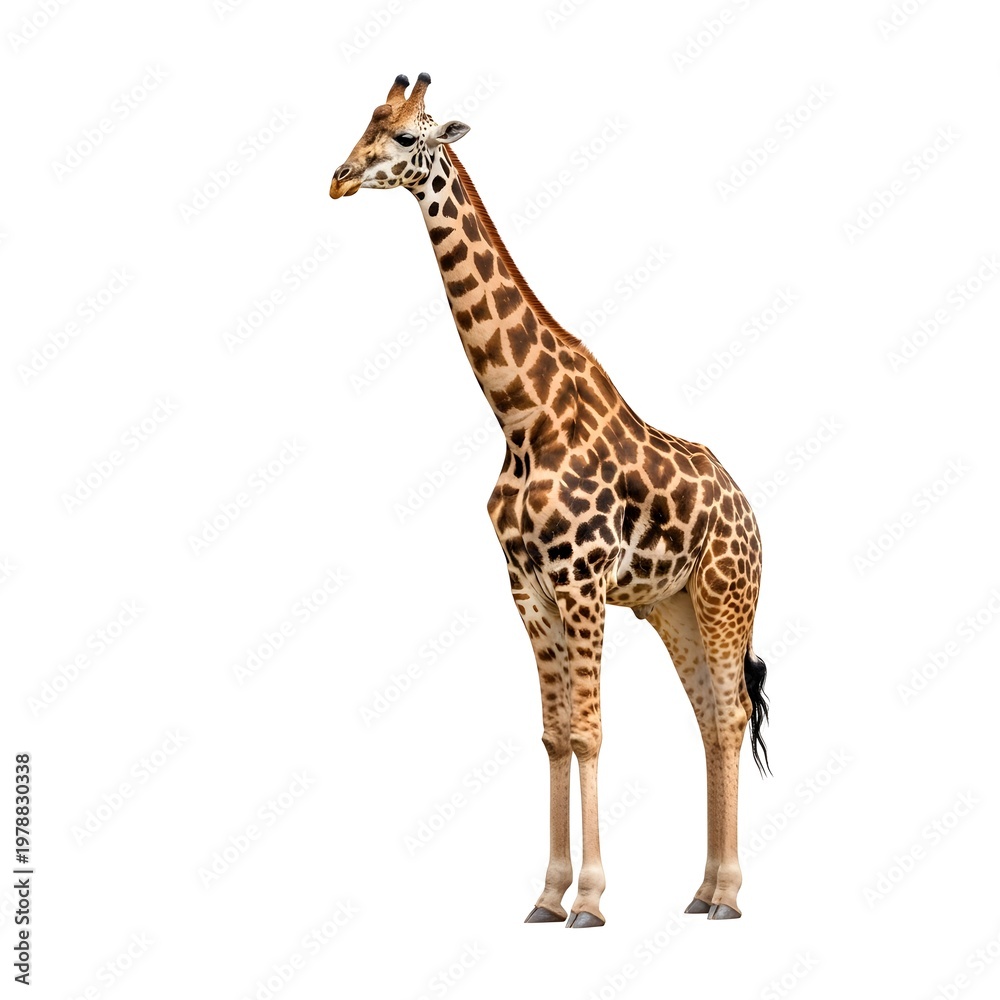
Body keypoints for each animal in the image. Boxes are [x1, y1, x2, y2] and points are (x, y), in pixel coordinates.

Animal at [330, 73, 770, 925]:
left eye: (403, 137)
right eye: (364, 122)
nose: (337, 178)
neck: (520, 414)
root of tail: (749, 513)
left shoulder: (580, 581)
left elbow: (590, 731)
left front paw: (591, 900)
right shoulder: (527, 587)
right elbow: (554, 734)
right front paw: (547, 893)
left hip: (725, 595)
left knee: (732, 713)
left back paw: (730, 894)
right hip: (672, 606)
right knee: (709, 717)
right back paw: (702, 890)